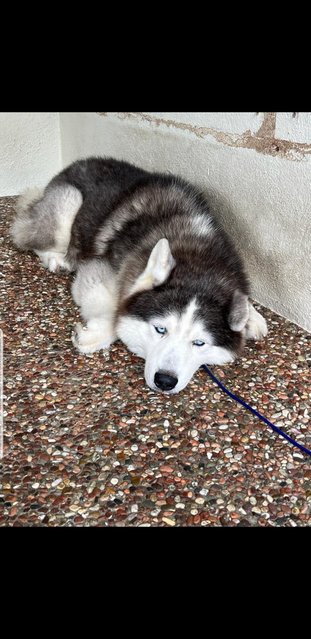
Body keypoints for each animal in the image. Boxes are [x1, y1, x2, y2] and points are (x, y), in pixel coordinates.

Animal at [10, 156, 268, 396]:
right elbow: (116, 309)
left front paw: (252, 316)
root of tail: (79, 162)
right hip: (69, 201)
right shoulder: (98, 270)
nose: (165, 380)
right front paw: (97, 333)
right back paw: (56, 259)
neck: (195, 252)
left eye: (199, 343)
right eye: (160, 329)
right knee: (25, 232)